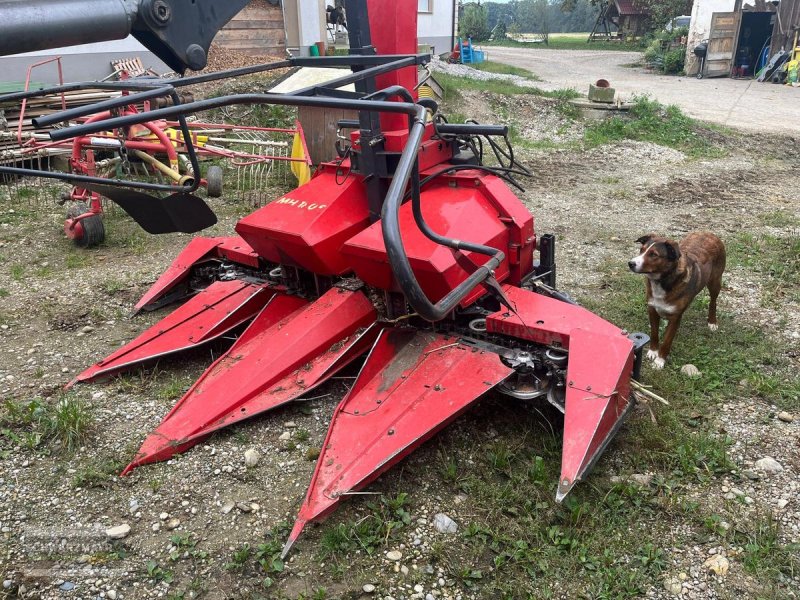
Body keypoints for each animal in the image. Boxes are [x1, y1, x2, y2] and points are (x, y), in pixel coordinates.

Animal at [628, 232, 728, 368]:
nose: (630, 263)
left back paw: (712, 321)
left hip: (715, 282)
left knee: (713, 302)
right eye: (641, 250)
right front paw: (653, 351)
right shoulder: (652, 309)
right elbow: (654, 333)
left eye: (654, 254)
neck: (663, 281)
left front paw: (660, 360)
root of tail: (709, 233)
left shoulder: (675, 317)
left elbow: (667, 341)